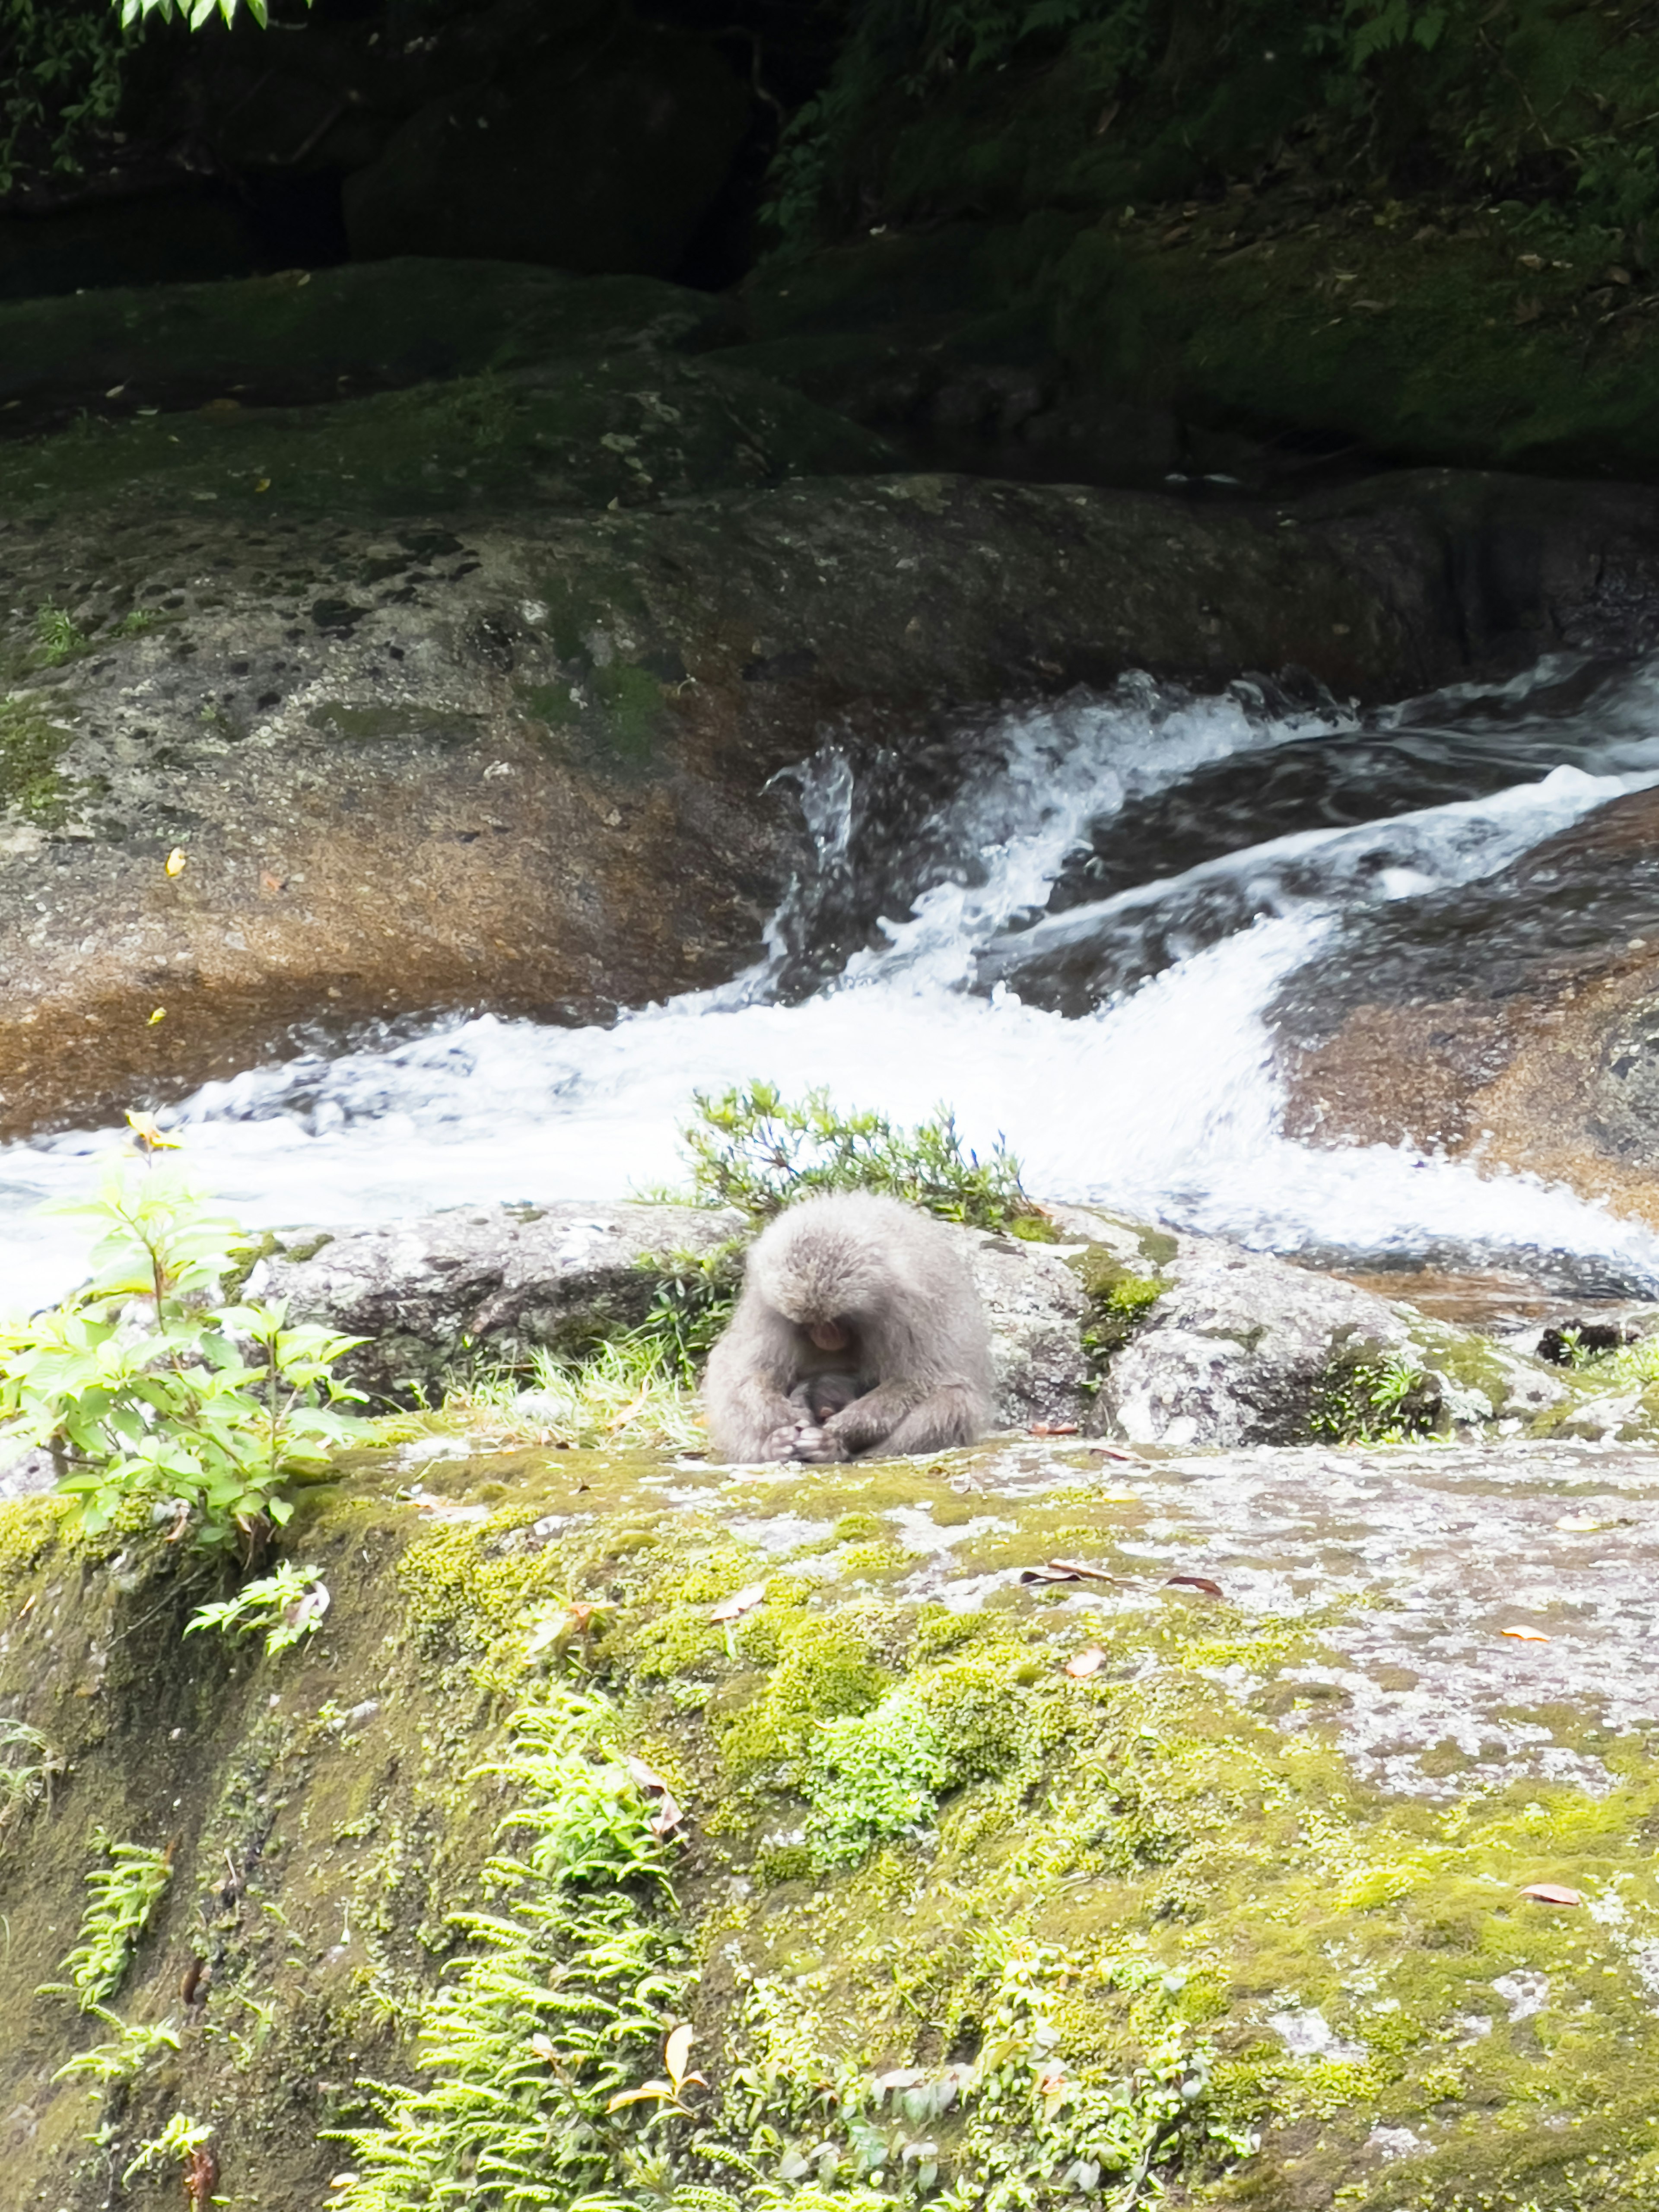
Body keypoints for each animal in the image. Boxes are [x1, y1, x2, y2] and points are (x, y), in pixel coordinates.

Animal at [703, 1194, 1000, 1468]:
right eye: (808, 1322)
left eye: (836, 1319)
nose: (825, 1338)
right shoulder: (765, 1304)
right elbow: (749, 1373)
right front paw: (787, 1422)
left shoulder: (908, 1309)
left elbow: (918, 1381)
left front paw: (838, 1431)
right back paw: (772, 1447)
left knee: (954, 1400)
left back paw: (837, 1449)